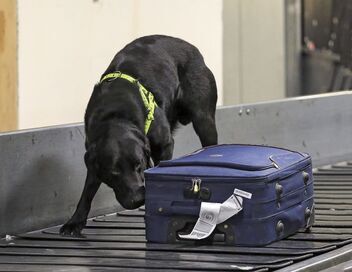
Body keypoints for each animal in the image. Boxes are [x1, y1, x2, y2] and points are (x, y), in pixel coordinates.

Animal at [62, 34, 219, 236]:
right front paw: (75, 221)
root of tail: (193, 49)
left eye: (138, 165)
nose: (137, 199)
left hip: (204, 120)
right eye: (114, 172)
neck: (116, 115)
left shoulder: (164, 144)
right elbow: (88, 189)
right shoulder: (92, 154)